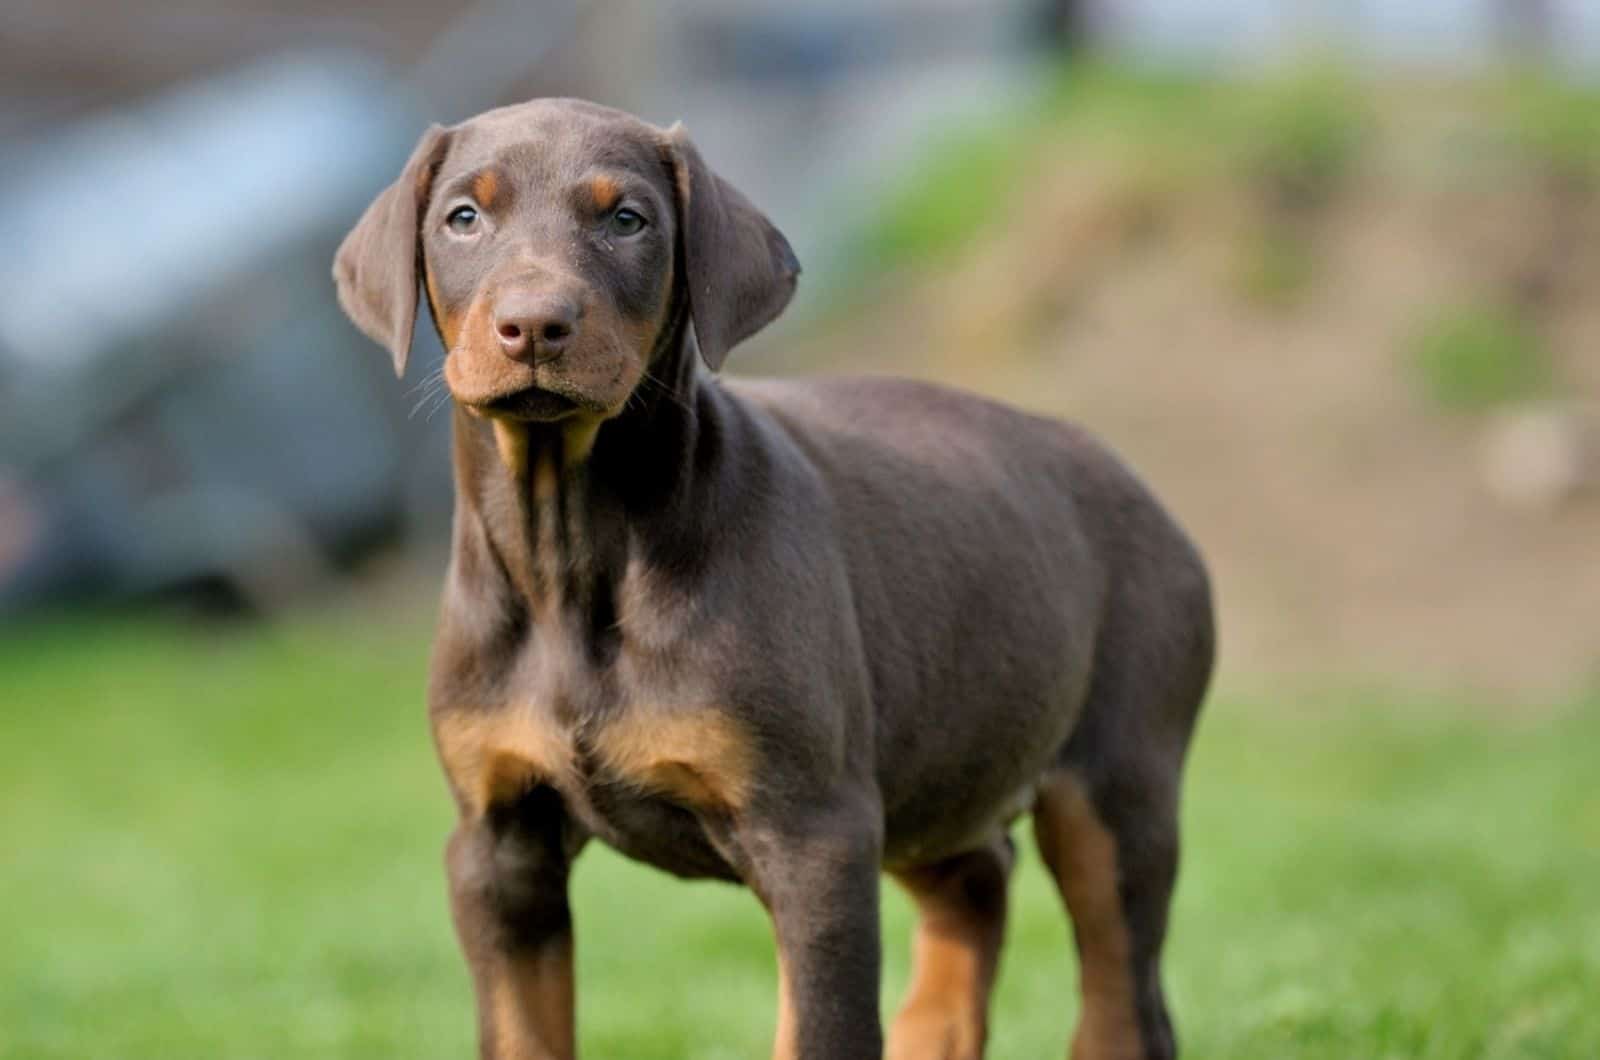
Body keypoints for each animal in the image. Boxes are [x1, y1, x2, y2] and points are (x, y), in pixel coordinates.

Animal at [334, 99, 1209, 1060]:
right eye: (463, 217)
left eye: (626, 220)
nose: (533, 325)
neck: (570, 547)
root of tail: (1138, 485)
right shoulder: (498, 843)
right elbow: (524, 1031)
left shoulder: (814, 833)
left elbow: (818, 1028)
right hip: (936, 757)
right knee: (976, 876)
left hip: (1116, 779)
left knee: (1124, 993)